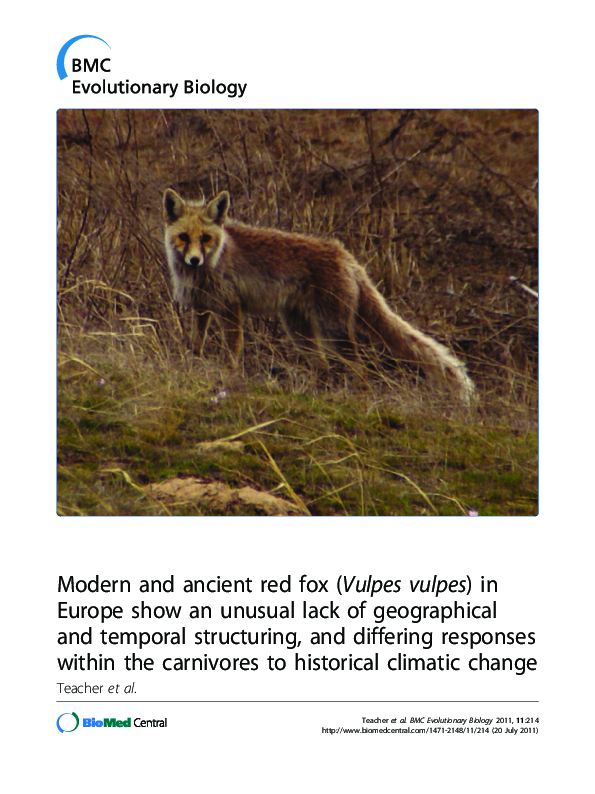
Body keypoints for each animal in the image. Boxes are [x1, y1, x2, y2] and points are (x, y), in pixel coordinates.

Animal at [163, 188, 475, 404]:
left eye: (205, 238)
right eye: (183, 237)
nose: (194, 260)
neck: (210, 265)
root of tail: (346, 255)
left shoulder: (231, 308)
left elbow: (232, 354)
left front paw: (228, 381)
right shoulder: (201, 308)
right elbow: (197, 345)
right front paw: (193, 367)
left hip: (333, 330)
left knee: (359, 370)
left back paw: (360, 402)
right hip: (299, 331)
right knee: (323, 368)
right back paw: (316, 397)